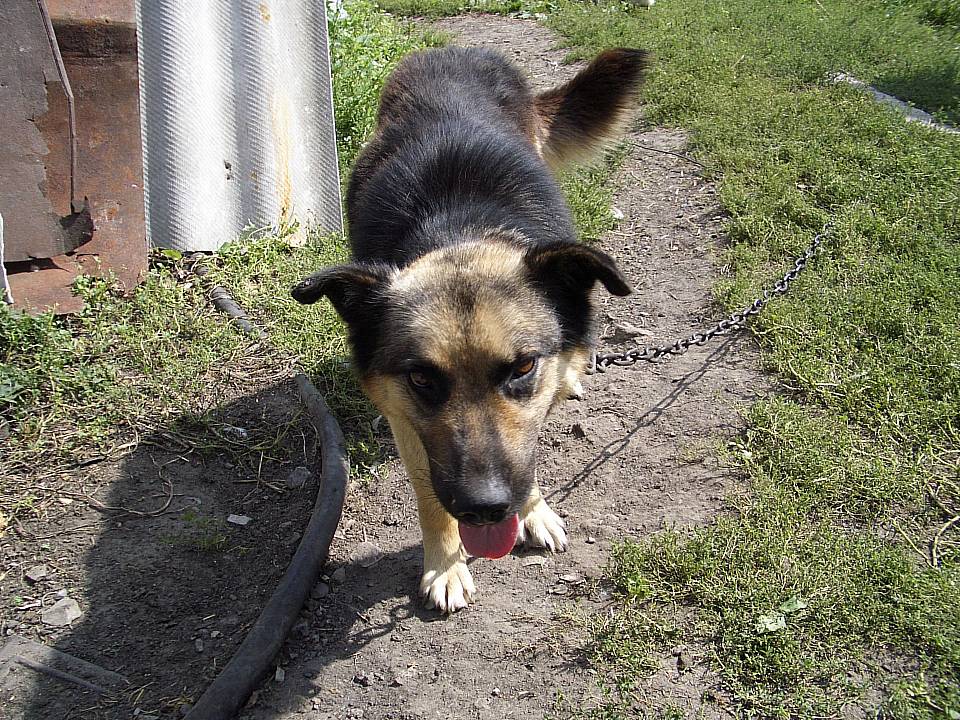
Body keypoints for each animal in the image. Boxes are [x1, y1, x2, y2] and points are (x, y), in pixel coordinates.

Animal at [292, 45, 649, 612]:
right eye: (421, 378)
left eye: (523, 367)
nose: (485, 508)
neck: (460, 232)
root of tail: (452, 50)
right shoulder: (407, 423)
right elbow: (429, 498)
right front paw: (445, 564)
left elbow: (528, 455)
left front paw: (533, 510)